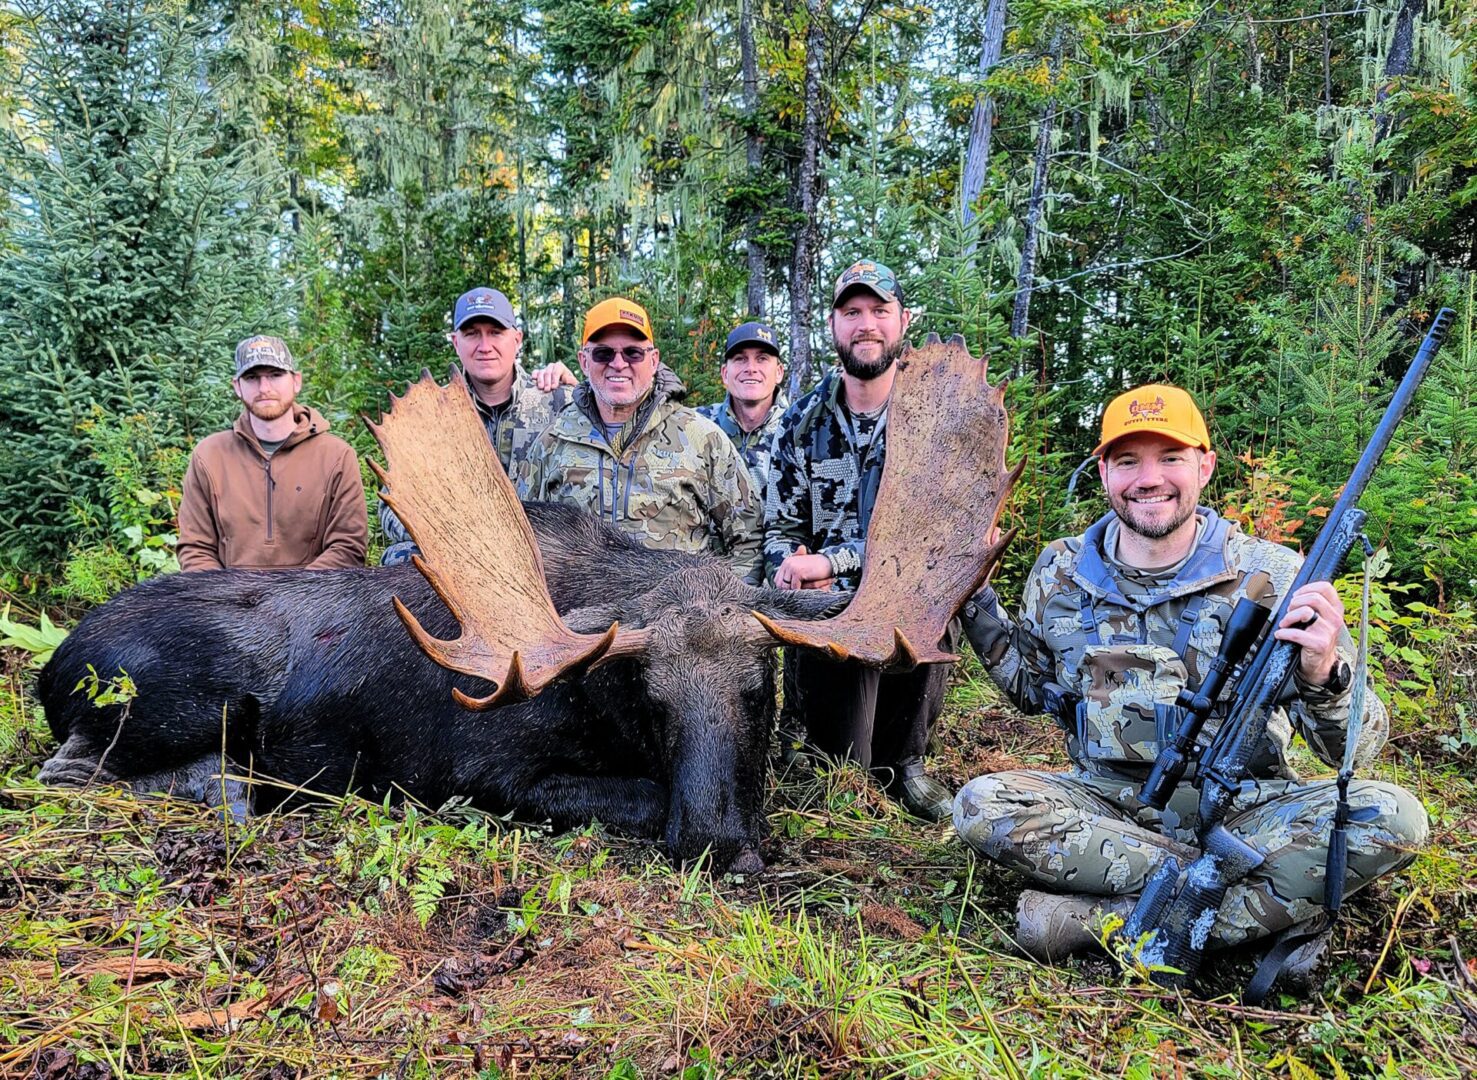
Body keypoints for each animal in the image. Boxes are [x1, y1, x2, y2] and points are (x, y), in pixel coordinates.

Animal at [37, 333, 1016, 874]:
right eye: (651, 698)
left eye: (759, 689)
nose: (718, 844)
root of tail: (52, 666)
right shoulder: (481, 772)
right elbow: (637, 797)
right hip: (175, 700)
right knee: (71, 769)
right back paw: (224, 788)